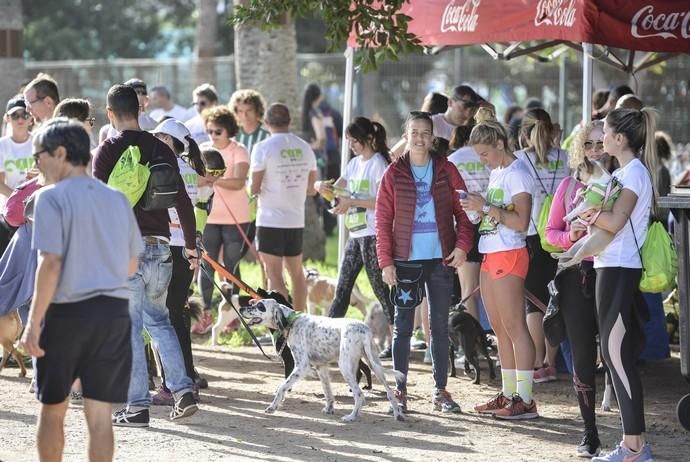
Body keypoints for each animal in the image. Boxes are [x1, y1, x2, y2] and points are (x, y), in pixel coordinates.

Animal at [239, 296, 406, 422]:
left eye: (260, 306)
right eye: (253, 303)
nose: (241, 309)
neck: (292, 321)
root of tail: (362, 329)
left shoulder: (301, 366)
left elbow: (281, 387)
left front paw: (273, 407)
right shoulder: (321, 367)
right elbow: (328, 392)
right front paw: (329, 408)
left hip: (346, 367)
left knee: (359, 395)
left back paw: (351, 417)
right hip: (374, 365)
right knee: (390, 392)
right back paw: (397, 414)